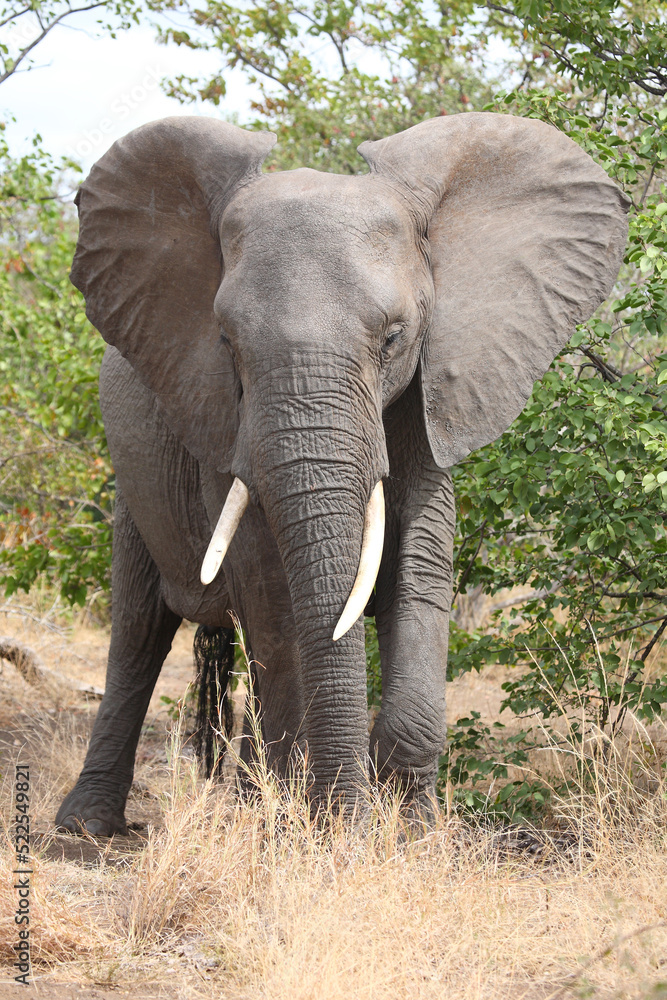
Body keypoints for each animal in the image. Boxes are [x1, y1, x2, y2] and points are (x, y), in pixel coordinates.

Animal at [54, 107, 628, 836]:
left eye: (393, 337)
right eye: (226, 343)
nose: (350, 820)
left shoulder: (428, 399)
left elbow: (421, 565)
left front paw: (409, 832)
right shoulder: (222, 423)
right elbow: (268, 589)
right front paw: (314, 829)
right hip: (134, 480)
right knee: (138, 632)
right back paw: (87, 826)